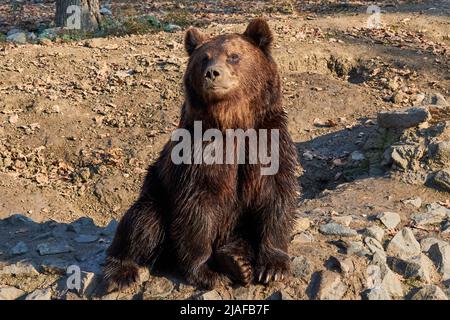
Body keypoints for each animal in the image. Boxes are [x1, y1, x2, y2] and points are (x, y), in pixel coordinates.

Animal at [104, 18, 300, 292]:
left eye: (234, 56)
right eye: (204, 58)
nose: (212, 73)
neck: (232, 121)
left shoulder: (268, 139)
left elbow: (274, 195)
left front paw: (273, 267)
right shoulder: (198, 154)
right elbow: (197, 206)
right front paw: (208, 272)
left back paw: (236, 260)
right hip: (157, 196)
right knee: (143, 222)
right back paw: (120, 272)